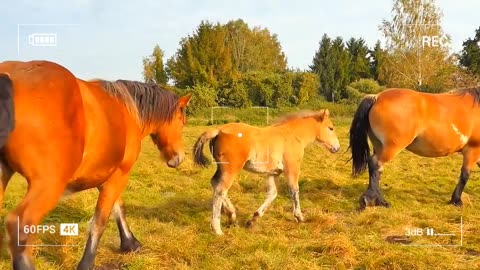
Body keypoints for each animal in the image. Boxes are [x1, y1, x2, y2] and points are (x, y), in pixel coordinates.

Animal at [193, 109, 340, 234]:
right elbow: (294, 190)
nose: (337, 148)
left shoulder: (272, 173)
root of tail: (219, 130)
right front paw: (299, 217)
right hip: (231, 169)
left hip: (221, 168)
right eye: (330, 128)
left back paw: (232, 216)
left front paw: (253, 220)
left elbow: (272, 194)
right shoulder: (292, 168)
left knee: (214, 183)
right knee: (220, 190)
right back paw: (217, 229)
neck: (293, 135)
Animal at [348, 87, 480, 210]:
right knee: (375, 163)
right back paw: (375, 201)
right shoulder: (472, 150)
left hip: (379, 146)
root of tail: (377, 97)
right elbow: (465, 175)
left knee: (378, 170)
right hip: (392, 148)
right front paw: (456, 200)